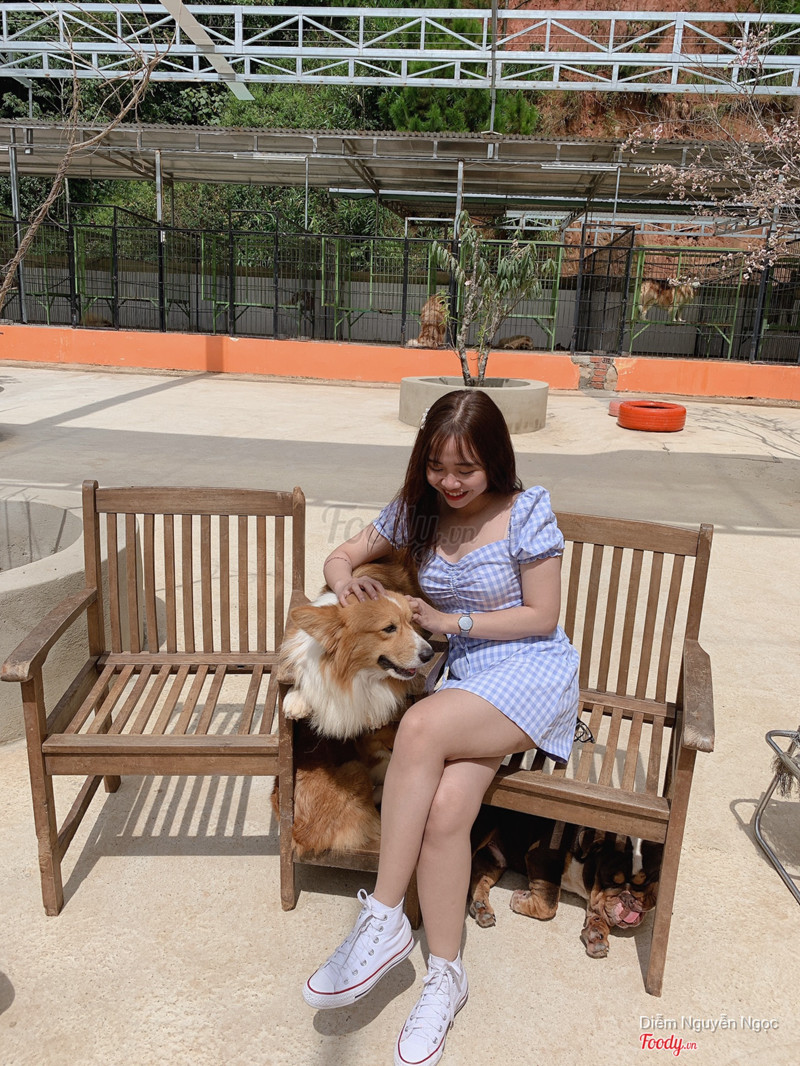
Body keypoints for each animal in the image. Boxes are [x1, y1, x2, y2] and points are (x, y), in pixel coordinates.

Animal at [273, 559, 435, 857]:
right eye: (389, 628)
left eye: (411, 621)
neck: (352, 674)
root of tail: (301, 836)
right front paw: (296, 699)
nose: (429, 654)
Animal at [469, 810, 662, 959]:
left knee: (478, 878)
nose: (628, 899)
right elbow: (548, 902)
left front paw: (596, 936)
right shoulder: (542, 856)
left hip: (495, 861)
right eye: (610, 880)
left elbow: (598, 917)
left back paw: (481, 908)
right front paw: (519, 899)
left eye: (646, 882)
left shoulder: (596, 899)